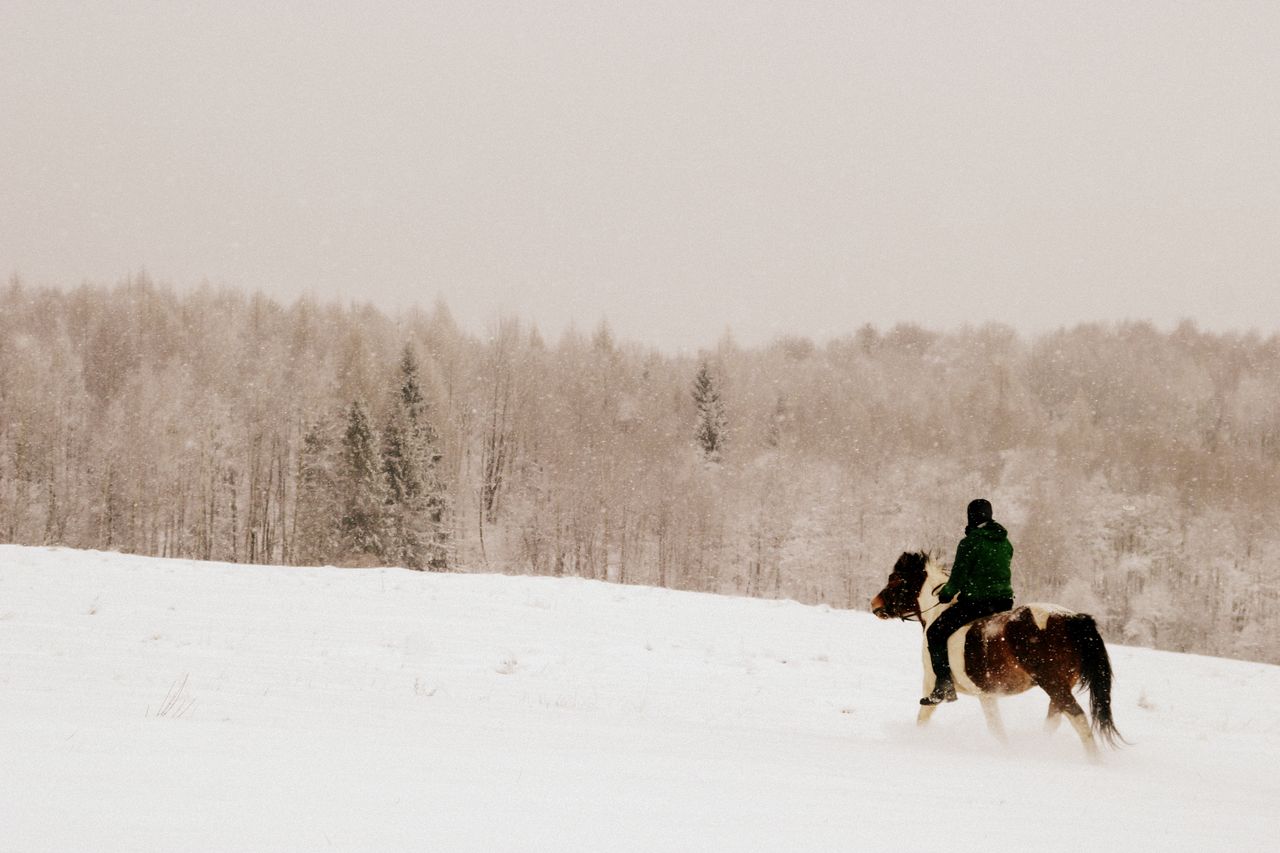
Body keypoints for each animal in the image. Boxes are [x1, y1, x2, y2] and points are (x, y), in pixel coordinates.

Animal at [865, 550, 1126, 758]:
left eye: (896, 579)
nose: (873, 604)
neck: (938, 612)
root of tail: (1072, 618)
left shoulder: (935, 685)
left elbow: (925, 717)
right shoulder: (987, 694)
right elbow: (997, 729)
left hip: (1054, 684)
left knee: (1078, 719)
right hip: (1060, 686)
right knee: (1055, 721)